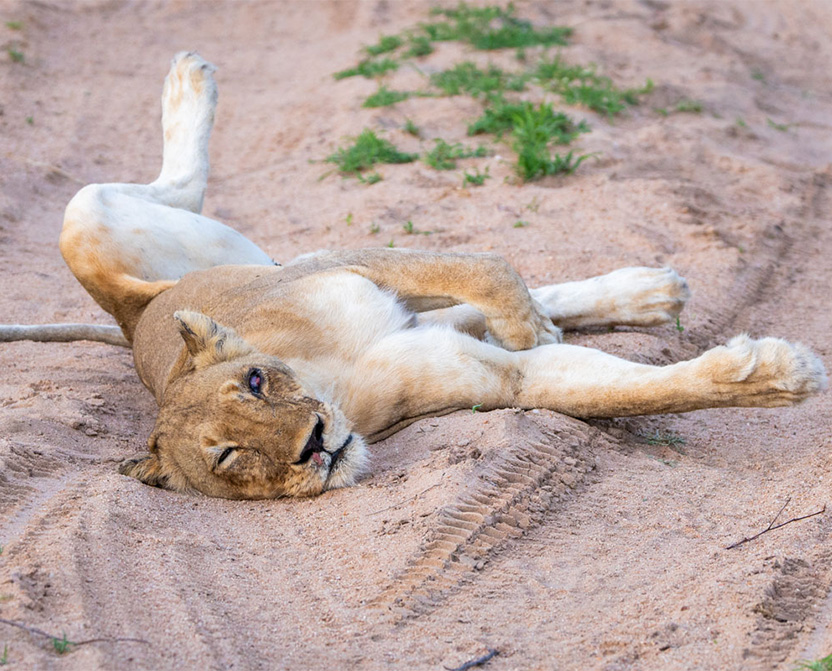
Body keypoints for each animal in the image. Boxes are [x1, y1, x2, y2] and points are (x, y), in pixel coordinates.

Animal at [6, 53, 825, 499]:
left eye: (256, 383)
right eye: (228, 455)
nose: (314, 443)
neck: (332, 377)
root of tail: (129, 317)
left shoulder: (346, 263)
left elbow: (484, 265)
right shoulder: (497, 379)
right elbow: (622, 385)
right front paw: (776, 377)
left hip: (105, 223)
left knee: (180, 182)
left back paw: (187, 79)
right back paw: (649, 295)